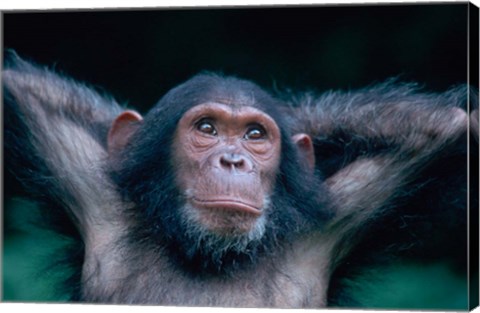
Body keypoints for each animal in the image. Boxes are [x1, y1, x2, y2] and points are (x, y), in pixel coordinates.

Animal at [3, 53, 476, 304]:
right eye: (207, 128)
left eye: (254, 135)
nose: (233, 160)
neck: (209, 255)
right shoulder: (88, 186)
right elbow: (20, 87)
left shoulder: (340, 217)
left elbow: (450, 126)